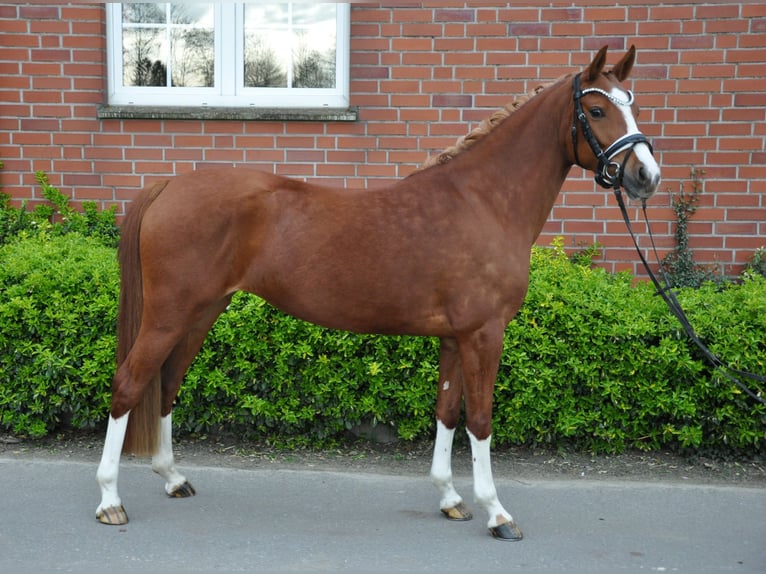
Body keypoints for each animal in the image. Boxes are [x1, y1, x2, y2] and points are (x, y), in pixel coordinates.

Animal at [96, 47, 660, 544]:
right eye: (596, 109)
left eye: (631, 101)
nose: (645, 176)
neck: (483, 202)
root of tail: (169, 185)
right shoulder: (484, 335)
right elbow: (480, 420)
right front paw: (497, 513)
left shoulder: (455, 338)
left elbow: (447, 411)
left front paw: (450, 498)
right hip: (169, 314)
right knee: (129, 385)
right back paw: (109, 501)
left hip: (201, 312)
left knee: (168, 383)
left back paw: (173, 478)